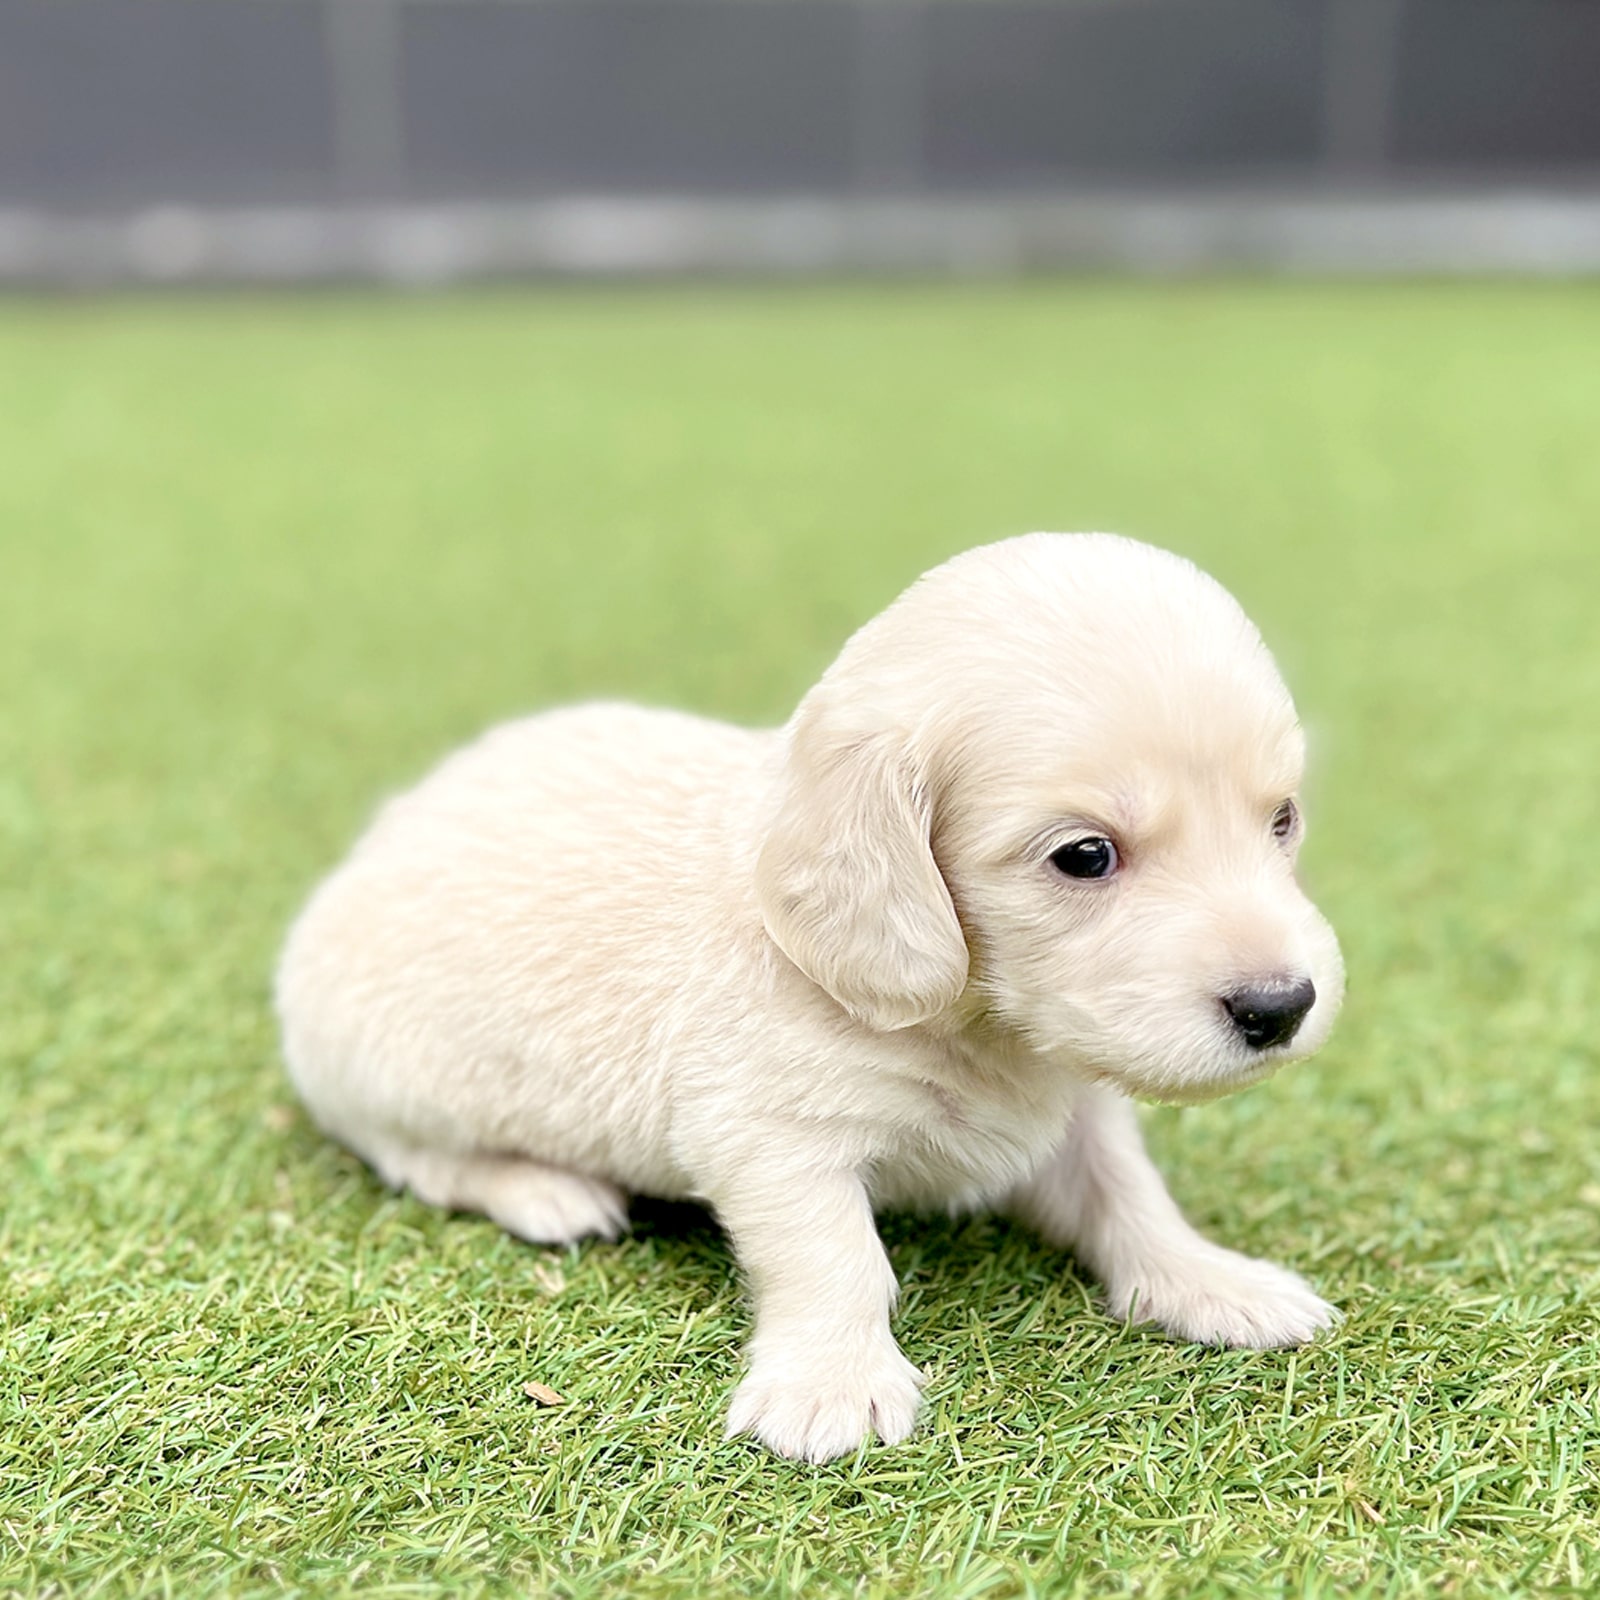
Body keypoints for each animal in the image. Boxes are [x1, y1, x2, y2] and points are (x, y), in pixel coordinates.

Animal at [275, 534, 1337, 1465]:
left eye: (1282, 819)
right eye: (1084, 855)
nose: (1282, 1006)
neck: (979, 1022)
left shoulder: (1078, 1102)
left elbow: (1131, 1194)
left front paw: (1209, 1278)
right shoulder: (773, 1137)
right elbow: (835, 1255)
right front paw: (832, 1382)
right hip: (382, 1070)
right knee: (419, 1158)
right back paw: (545, 1190)